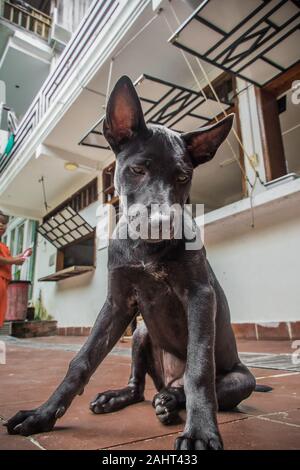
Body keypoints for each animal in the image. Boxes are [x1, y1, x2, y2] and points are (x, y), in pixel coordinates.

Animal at [4, 75, 255, 450]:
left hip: (242, 378)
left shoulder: (200, 295)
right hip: (140, 331)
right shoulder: (118, 304)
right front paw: (42, 414)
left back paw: (171, 402)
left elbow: (199, 370)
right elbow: (82, 360)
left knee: (193, 385)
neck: (146, 249)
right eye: (137, 169)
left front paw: (200, 432)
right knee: (139, 388)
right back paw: (124, 397)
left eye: (183, 177)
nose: (163, 223)